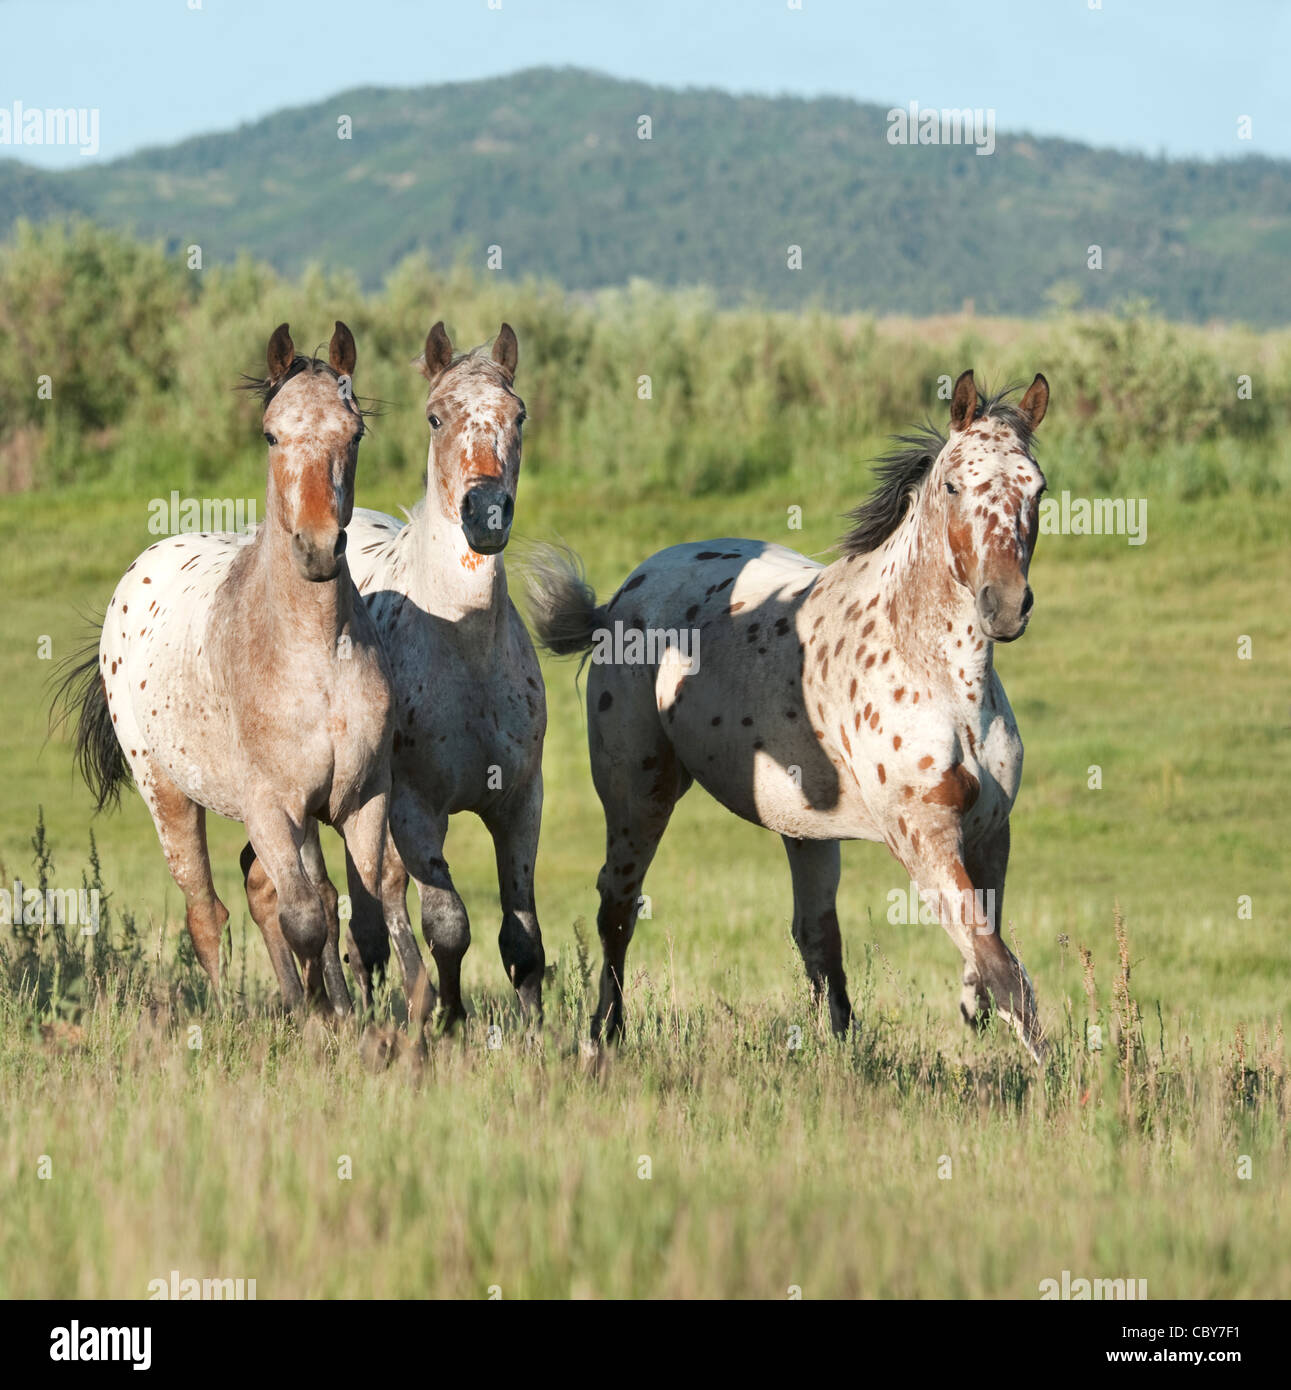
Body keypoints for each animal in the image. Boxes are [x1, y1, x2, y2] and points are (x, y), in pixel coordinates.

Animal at [55, 319, 394, 1017]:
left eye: (354, 434)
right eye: (271, 434)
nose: (318, 549)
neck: (316, 659)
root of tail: (136, 575)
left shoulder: (361, 799)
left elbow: (362, 919)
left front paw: (364, 1020)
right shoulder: (270, 807)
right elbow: (304, 920)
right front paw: (317, 1024)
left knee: (281, 893)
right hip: (168, 793)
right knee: (207, 913)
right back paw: (225, 1014)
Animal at [240, 319, 544, 1028]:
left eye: (518, 414)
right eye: (435, 416)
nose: (486, 512)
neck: (465, 655)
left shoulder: (520, 802)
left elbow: (522, 936)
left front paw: (541, 1031)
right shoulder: (413, 809)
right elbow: (448, 924)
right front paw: (453, 1023)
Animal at [528, 372, 1050, 1061]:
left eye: (1037, 488)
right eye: (953, 486)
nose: (1006, 606)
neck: (945, 681)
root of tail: (619, 598)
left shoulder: (991, 831)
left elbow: (985, 946)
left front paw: (972, 1006)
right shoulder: (925, 836)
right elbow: (1002, 967)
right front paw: (1049, 1072)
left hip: (805, 829)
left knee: (817, 936)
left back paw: (845, 1053)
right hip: (638, 793)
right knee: (617, 903)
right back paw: (605, 1034)